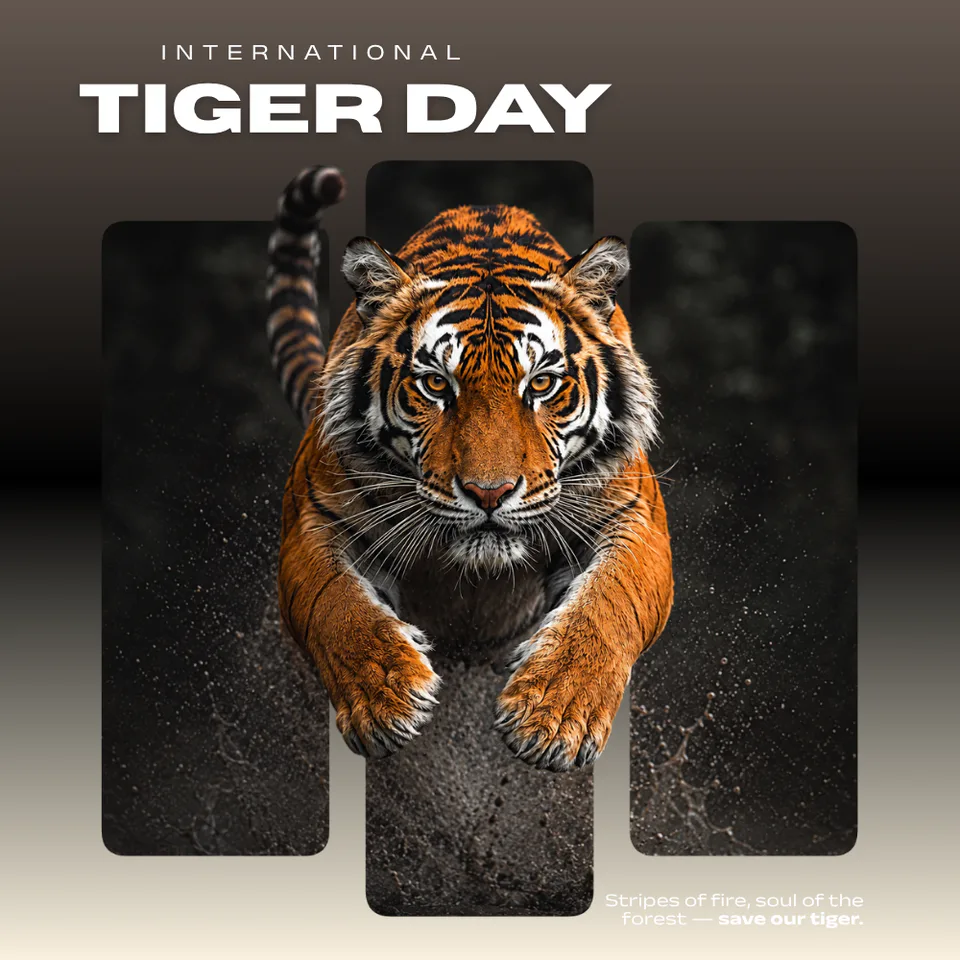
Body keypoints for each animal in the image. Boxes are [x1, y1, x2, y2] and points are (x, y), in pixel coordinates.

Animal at [267, 165, 673, 772]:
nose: (489, 493)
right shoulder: (311, 520)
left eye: (542, 383)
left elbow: (608, 603)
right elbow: (335, 605)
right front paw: (387, 697)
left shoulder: (634, 515)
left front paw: (554, 715)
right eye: (437, 384)